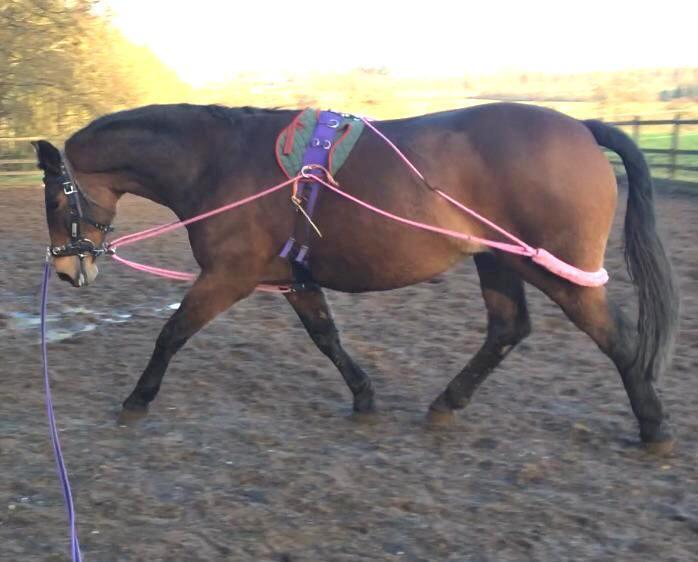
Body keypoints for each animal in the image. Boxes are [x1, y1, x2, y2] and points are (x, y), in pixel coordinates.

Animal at [33, 102, 679, 452]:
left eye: (56, 198)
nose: (66, 268)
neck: (219, 163)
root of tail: (582, 128)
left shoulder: (229, 275)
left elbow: (170, 335)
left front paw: (137, 399)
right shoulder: (292, 277)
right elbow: (327, 338)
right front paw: (365, 396)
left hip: (553, 269)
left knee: (618, 340)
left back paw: (654, 427)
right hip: (497, 259)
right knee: (507, 329)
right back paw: (446, 402)